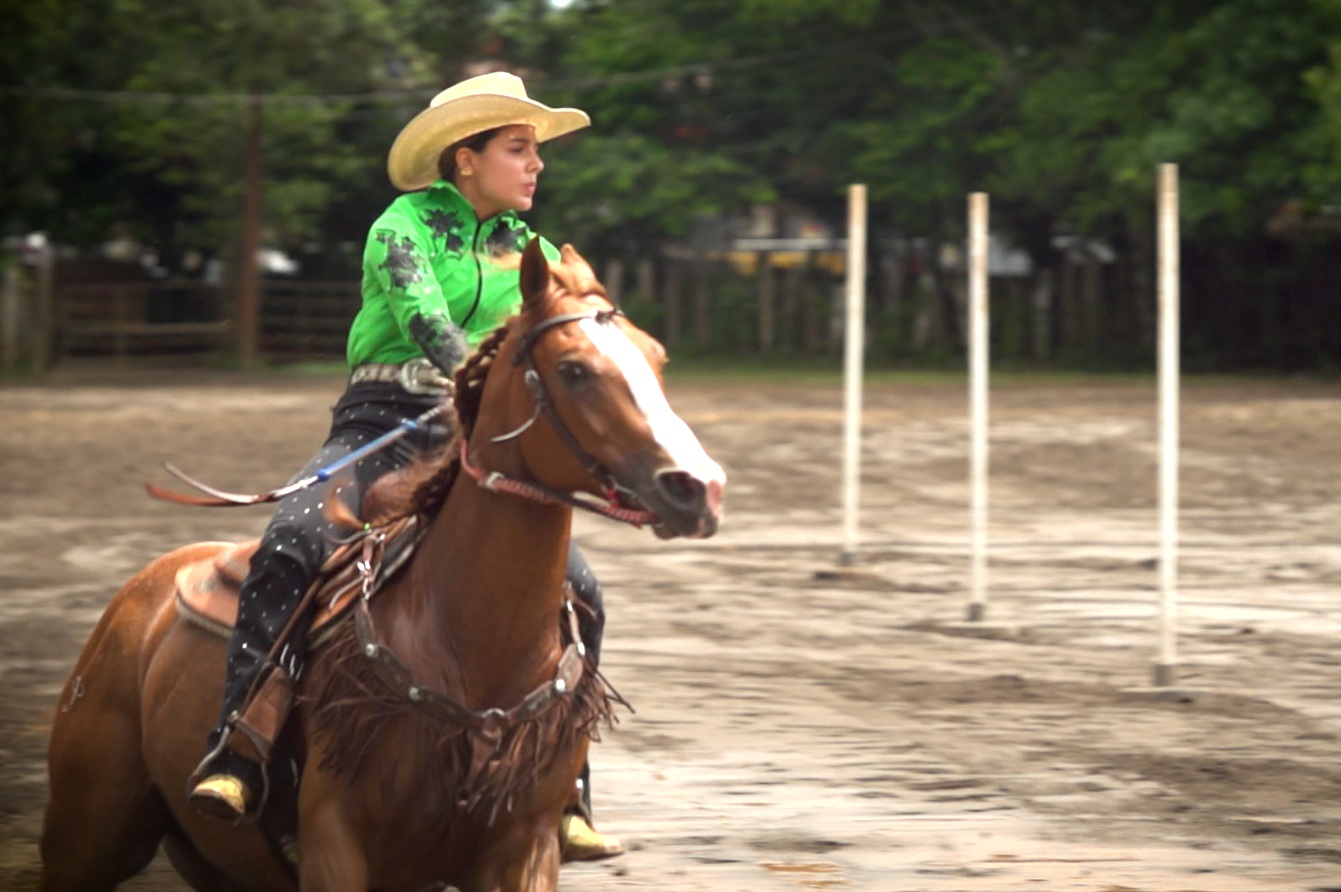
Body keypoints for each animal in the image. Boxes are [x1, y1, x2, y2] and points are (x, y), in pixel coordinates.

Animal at [40, 237, 727, 892]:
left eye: (657, 358)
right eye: (574, 369)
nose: (699, 487)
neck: (472, 651)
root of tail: (144, 591)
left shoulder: (524, 848)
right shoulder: (335, 844)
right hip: (85, 838)